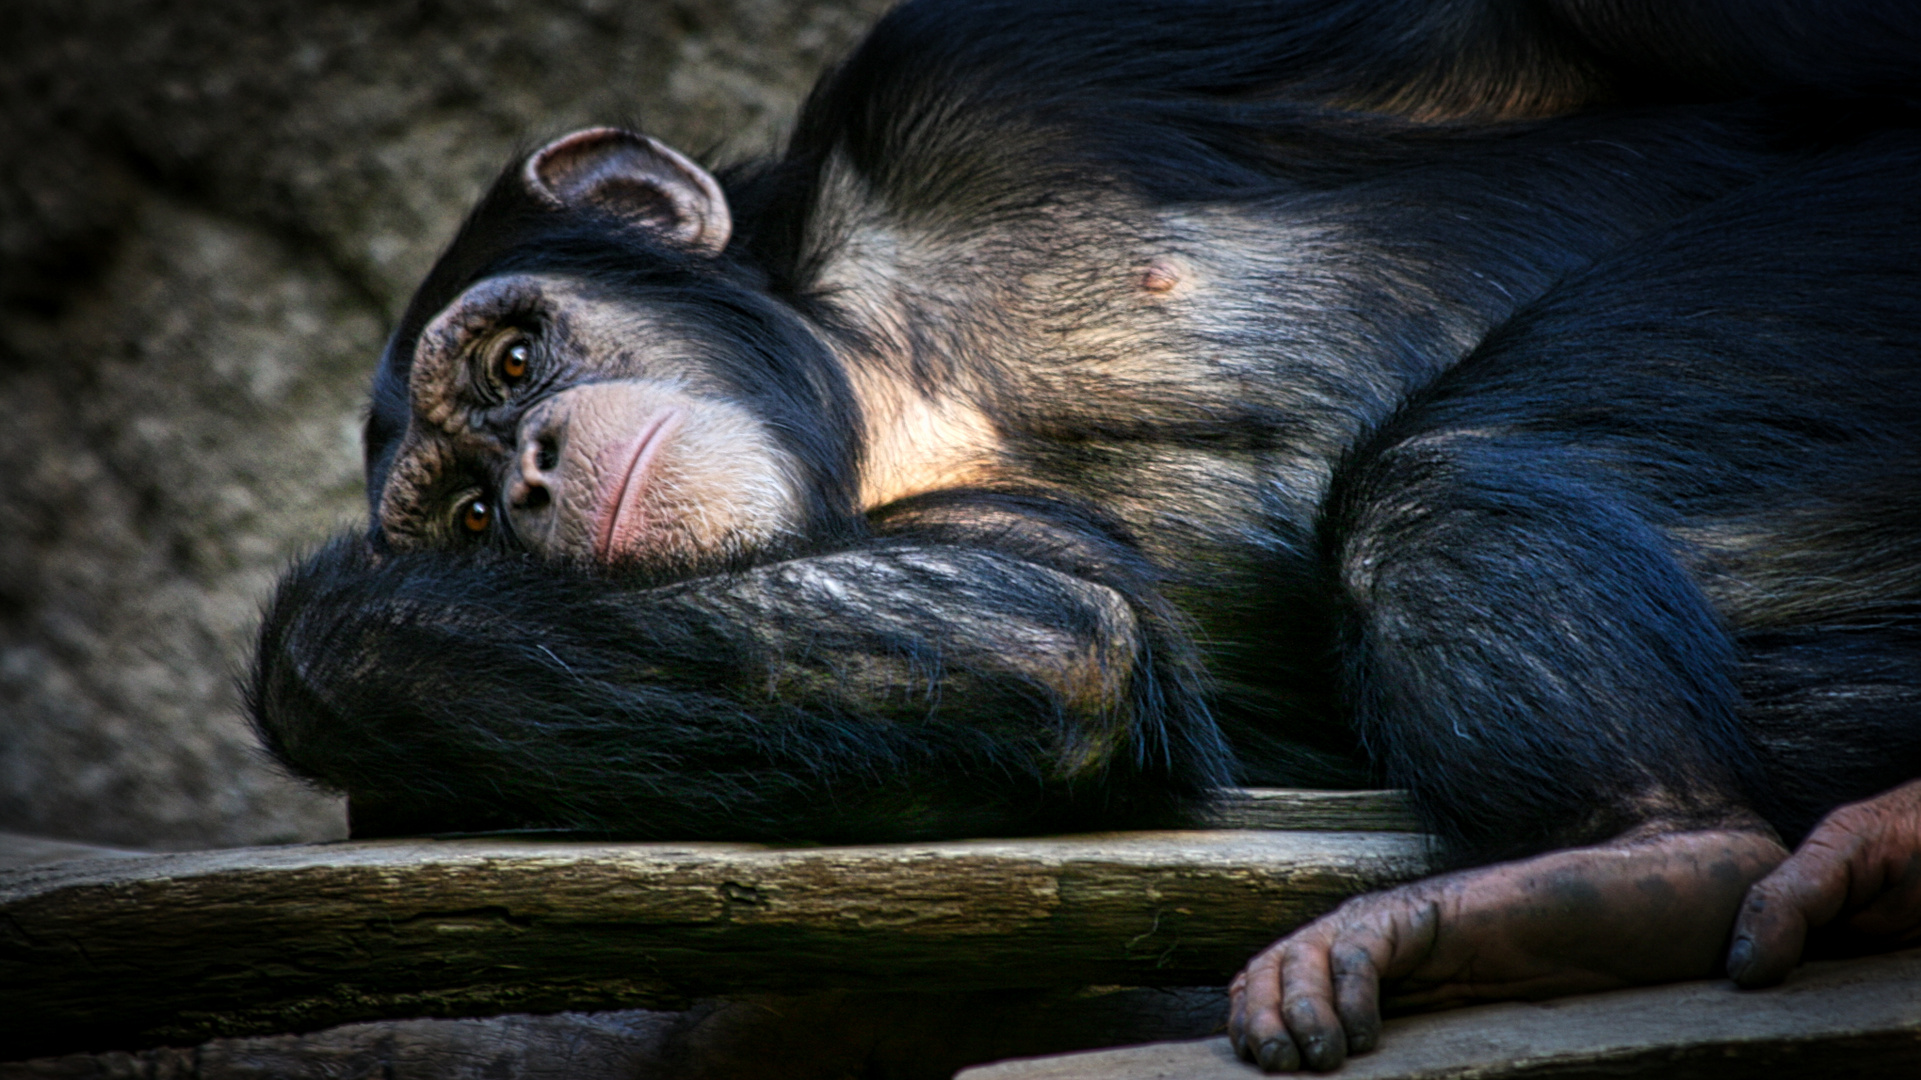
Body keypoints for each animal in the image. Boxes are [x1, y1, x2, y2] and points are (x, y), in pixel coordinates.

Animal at [247, 0, 1913, 1068]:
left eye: (513, 360)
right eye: (467, 519)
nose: (527, 475)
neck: (898, 386)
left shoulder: (1005, 58)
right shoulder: (956, 555)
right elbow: (1057, 646)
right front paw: (334, 641)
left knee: (1457, 459)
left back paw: (1660, 852)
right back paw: (1660, 868)